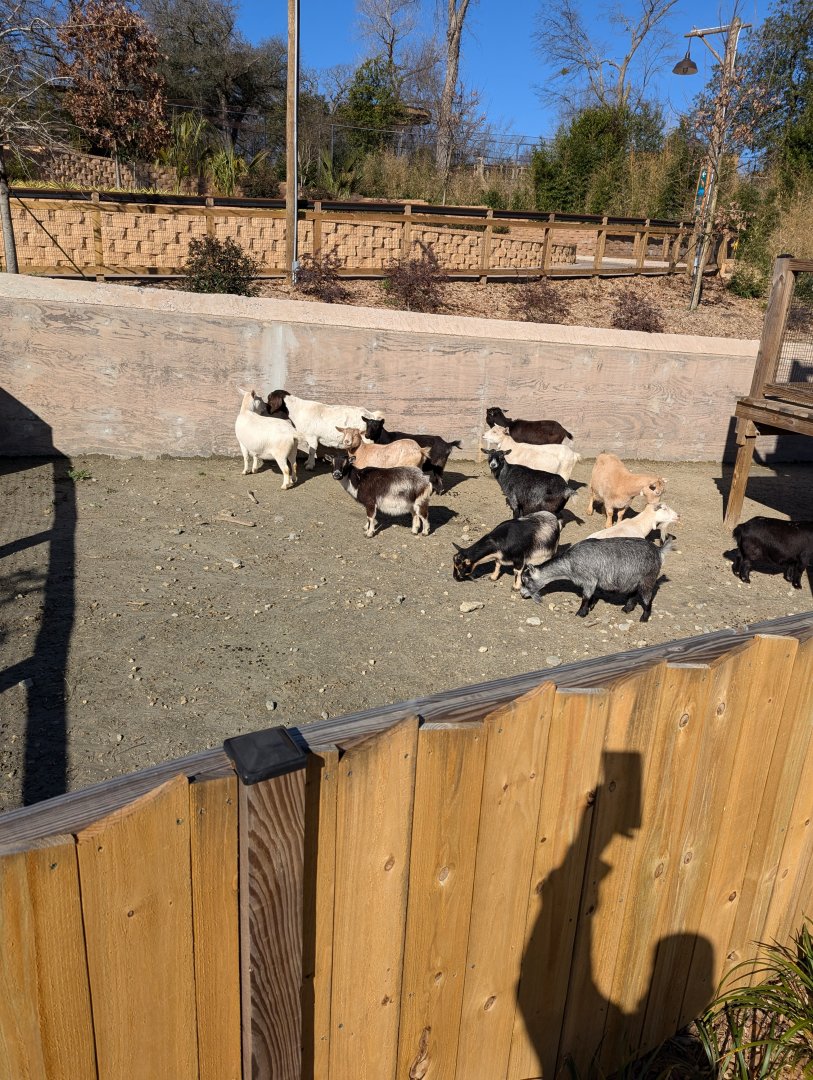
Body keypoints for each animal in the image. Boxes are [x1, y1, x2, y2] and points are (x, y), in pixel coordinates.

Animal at [520, 537, 674, 621]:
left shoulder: (589, 580)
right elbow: (592, 596)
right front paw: (590, 607)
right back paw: (626, 608)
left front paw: (581, 613)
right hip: (633, 580)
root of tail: (658, 550)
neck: (569, 563)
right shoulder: (593, 582)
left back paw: (644, 618)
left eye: (525, 580)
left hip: (648, 579)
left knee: (647, 598)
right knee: (634, 593)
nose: (522, 594)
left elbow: (585, 597)